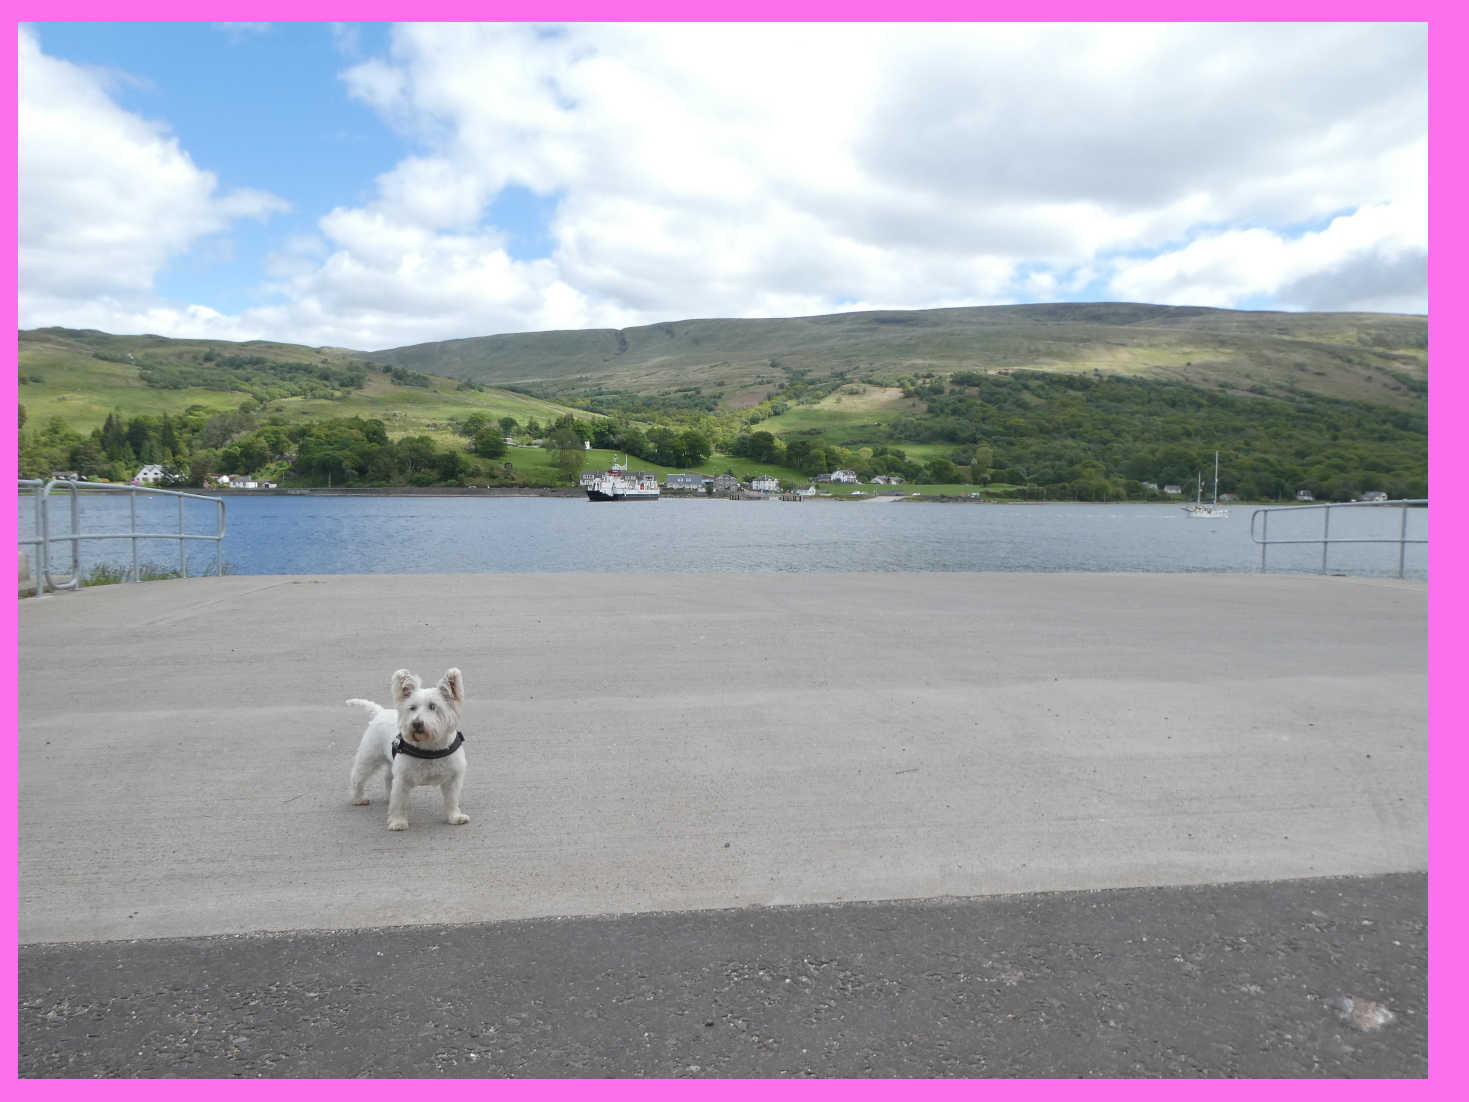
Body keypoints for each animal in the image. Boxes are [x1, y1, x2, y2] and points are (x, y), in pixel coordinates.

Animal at [346, 670, 467, 834]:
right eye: (412, 707)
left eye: (433, 706)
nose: (416, 724)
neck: (429, 748)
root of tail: (380, 712)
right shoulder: (402, 780)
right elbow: (399, 802)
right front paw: (398, 822)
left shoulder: (453, 779)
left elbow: (452, 800)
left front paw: (455, 817)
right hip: (369, 758)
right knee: (358, 777)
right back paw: (358, 798)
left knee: (387, 778)